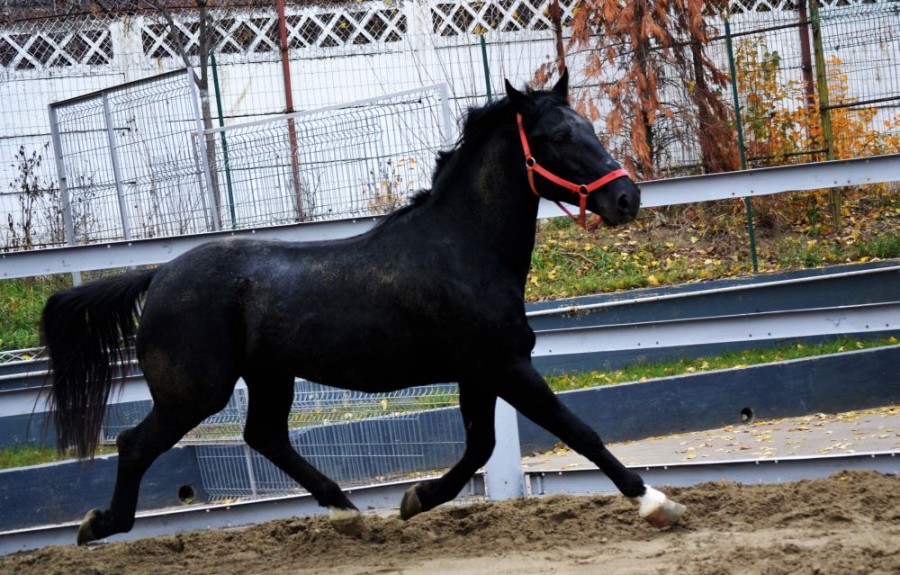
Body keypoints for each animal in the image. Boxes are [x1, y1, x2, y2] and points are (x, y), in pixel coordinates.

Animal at [42, 72, 684, 544]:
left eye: (588, 127)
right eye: (557, 137)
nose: (626, 198)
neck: (461, 248)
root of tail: (160, 275)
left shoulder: (479, 373)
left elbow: (481, 446)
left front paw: (414, 500)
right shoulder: (504, 367)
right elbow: (578, 431)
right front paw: (657, 503)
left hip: (269, 377)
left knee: (264, 436)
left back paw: (349, 513)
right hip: (195, 393)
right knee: (136, 444)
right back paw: (98, 525)